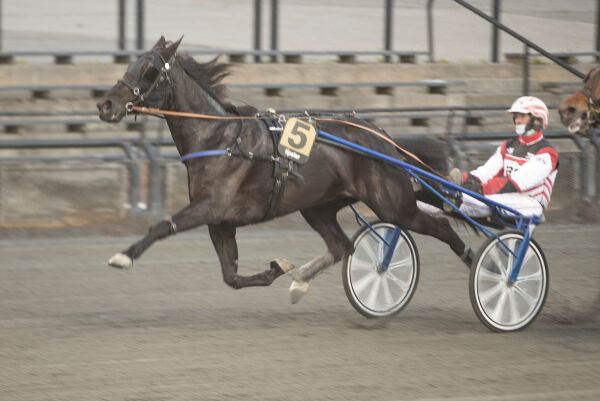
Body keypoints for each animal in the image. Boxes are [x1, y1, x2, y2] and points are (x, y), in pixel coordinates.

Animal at [96, 36, 472, 304]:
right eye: (130, 63)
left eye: (149, 70)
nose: (105, 104)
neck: (221, 137)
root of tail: (384, 138)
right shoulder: (221, 221)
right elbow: (231, 277)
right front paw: (279, 268)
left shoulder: (209, 206)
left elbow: (162, 226)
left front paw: (122, 256)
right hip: (319, 206)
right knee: (341, 246)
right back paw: (300, 281)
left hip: (393, 203)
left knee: (440, 225)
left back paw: (477, 262)